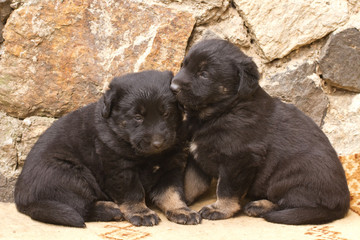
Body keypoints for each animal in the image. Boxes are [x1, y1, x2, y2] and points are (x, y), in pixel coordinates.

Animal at [14, 70, 200, 228]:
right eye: (137, 117)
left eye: (166, 114)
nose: (158, 143)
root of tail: (23, 202)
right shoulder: (121, 170)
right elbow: (133, 193)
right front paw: (141, 213)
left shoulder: (171, 167)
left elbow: (172, 192)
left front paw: (182, 210)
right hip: (69, 173)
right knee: (80, 208)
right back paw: (111, 210)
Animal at [170, 39, 350, 225]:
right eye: (183, 65)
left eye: (204, 74)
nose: (172, 87)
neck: (219, 113)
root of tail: (342, 206)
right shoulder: (197, 155)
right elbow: (191, 182)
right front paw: (182, 204)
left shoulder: (239, 159)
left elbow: (226, 189)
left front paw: (220, 209)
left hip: (290, 178)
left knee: (292, 204)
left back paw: (260, 206)